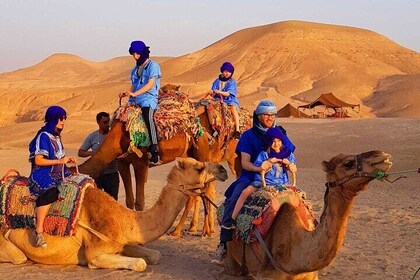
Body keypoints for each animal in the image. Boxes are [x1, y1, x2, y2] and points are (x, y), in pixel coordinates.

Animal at [0, 156, 228, 270]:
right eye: (199, 167)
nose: (223, 170)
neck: (123, 218)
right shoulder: (96, 254)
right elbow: (140, 264)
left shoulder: (124, 241)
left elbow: (154, 255)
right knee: (19, 257)